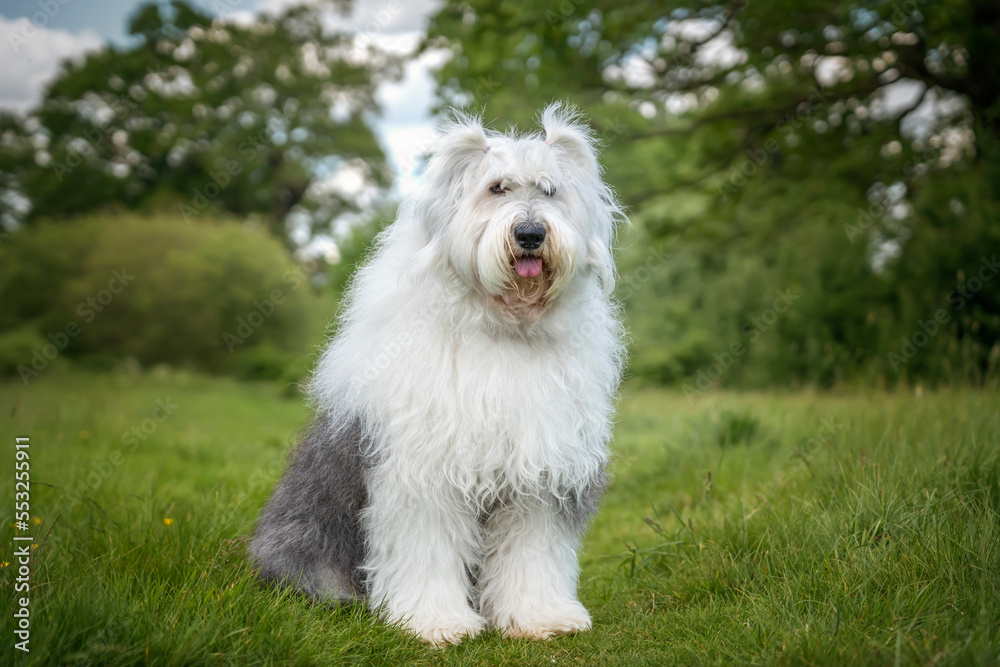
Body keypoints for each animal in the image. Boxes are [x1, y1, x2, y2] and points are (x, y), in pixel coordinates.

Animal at [250, 104, 624, 648]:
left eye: (550, 190)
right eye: (496, 188)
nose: (531, 234)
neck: (501, 329)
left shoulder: (538, 475)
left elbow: (532, 551)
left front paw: (540, 617)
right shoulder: (424, 474)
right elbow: (427, 549)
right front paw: (434, 622)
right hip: (305, 534)